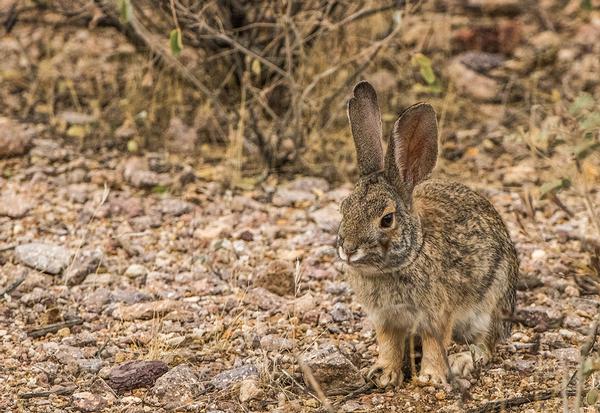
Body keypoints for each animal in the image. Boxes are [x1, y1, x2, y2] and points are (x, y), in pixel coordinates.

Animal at [338, 80, 520, 386]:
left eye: (387, 219)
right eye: (343, 208)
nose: (349, 249)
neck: (413, 252)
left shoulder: (437, 314)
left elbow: (436, 343)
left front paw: (431, 377)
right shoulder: (385, 319)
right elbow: (388, 345)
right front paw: (384, 374)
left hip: (489, 304)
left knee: (487, 344)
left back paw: (462, 360)